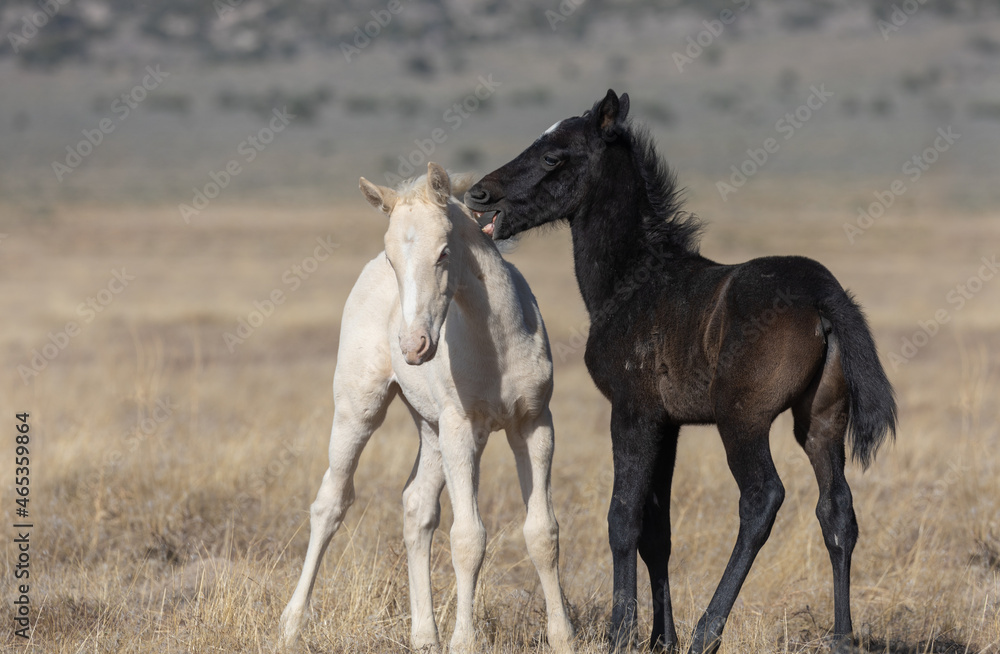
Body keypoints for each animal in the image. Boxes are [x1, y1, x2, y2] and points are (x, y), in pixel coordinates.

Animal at [279, 162, 575, 654]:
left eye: (443, 253)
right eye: (392, 259)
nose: (414, 346)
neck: (495, 343)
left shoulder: (534, 424)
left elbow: (542, 532)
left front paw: (563, 636)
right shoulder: (462, 427)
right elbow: (468, 538)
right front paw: (465, 642)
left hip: (430, 427)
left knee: (416, 508)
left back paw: (423, 636)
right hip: (360, 410)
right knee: (330, 502)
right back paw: (291, 623)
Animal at [464, 91, 897, 654]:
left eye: (553, 156)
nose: (479, 193)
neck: (635, 280)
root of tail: (826, 297)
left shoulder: (633, 412)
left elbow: (623, 516)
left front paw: (621, 631)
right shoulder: (668, 424)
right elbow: (658, 531)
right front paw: (659, 638)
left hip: (743, 419)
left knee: (762, 498)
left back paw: (708, 630)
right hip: (821, 420)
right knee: (837, 509)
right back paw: (841, 636)